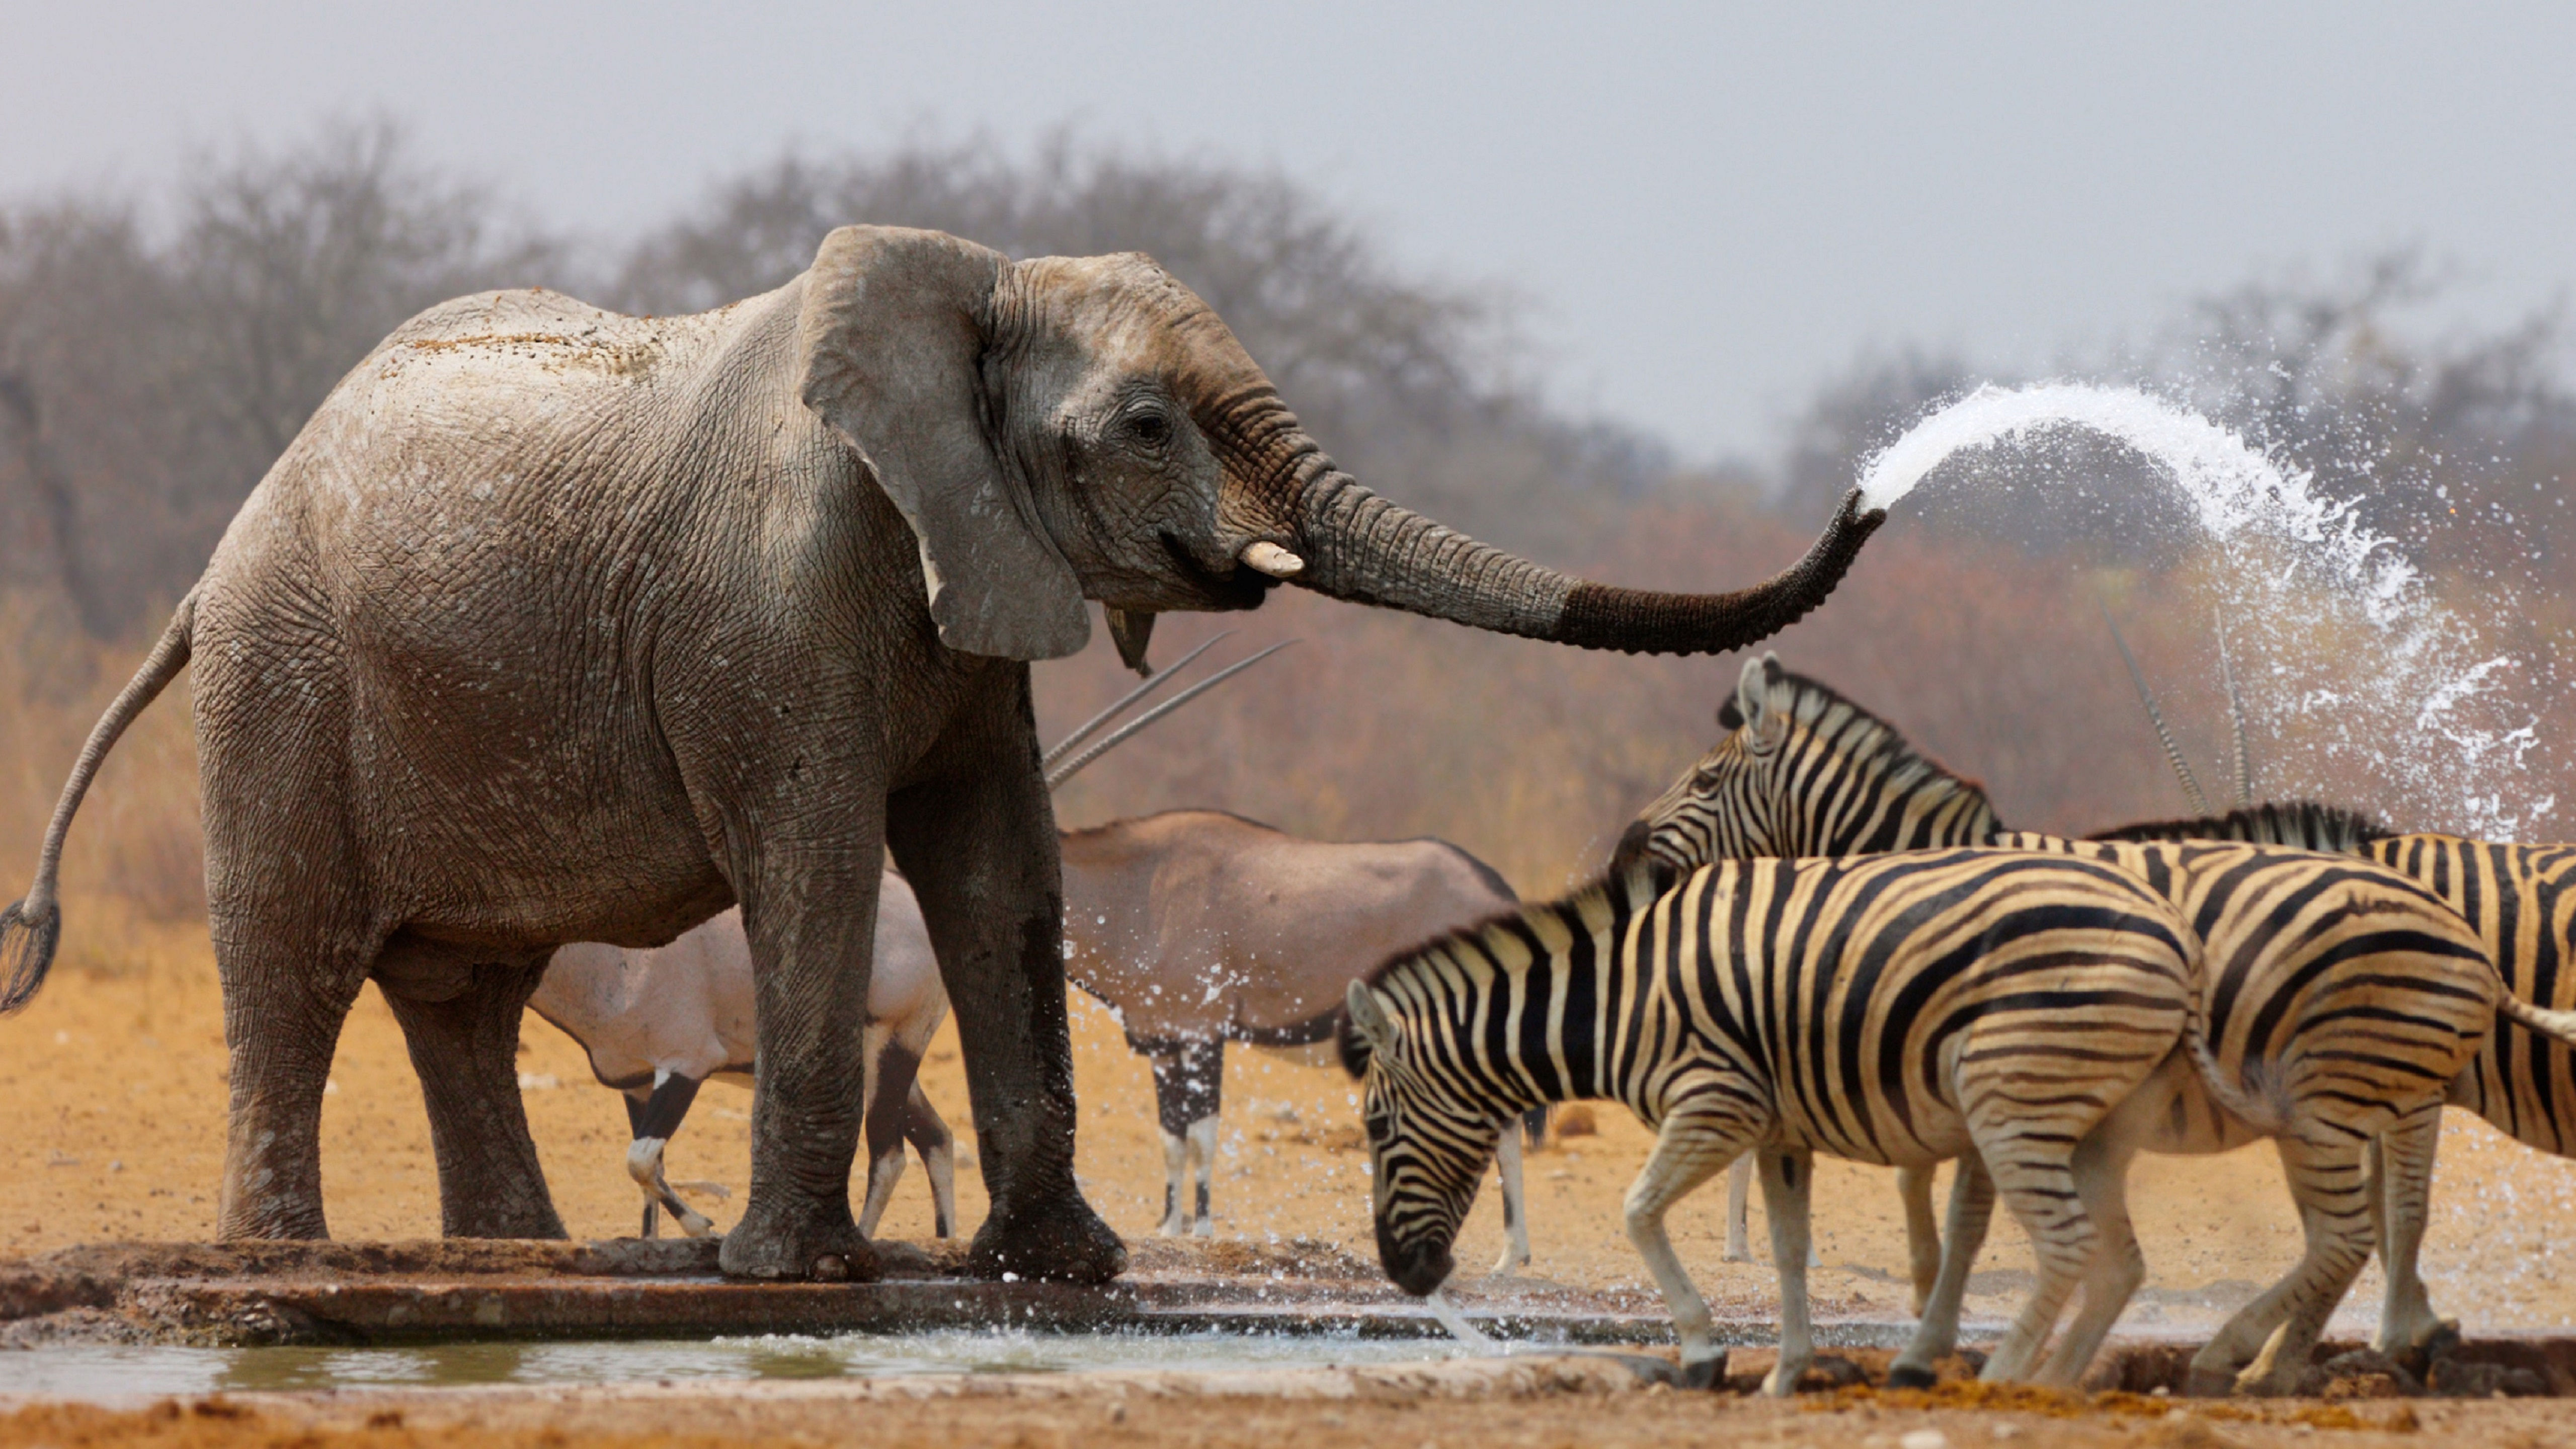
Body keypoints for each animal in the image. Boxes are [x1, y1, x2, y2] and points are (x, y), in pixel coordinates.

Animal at [0, 220, 1896, 1278]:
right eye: (1144, 426)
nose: (1876, 489)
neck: (970, 287)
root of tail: (214, 561)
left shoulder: (975, 581)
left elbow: (999, 866)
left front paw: (1065, 1269)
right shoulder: (773, 598)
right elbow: (822, 858)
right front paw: (789, 1280)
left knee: (463, 992)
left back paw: (515, 1260)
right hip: (285, 679)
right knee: (297, 960)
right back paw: (294, 1265)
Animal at [1339, 845, 2205, 1392]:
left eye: (1376, 1130)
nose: (1403, 1276)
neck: (1620, 997)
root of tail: (2173, 927)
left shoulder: (1717, 1102)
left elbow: (1638, 1212)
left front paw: (1702, 1350)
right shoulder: (1780, 1130)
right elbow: (1788, 1254)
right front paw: (1786, 1373)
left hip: (2011, 1097)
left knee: (2069, 1245)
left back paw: (2001, 1381)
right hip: (2084, 1118)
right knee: (2111, 1260)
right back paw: (2046, 1379)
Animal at [1607, 655, 2576, 1392]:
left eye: (1705, 779)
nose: (1623, 849)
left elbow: (1959, 1212)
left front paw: (1932, 1334)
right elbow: (1932, 1199)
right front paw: (1932, 1318)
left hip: (2354, 1088)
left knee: (2381, 1215)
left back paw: (2293, 1352)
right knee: (2376, 1217)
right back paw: (2327, 1350)